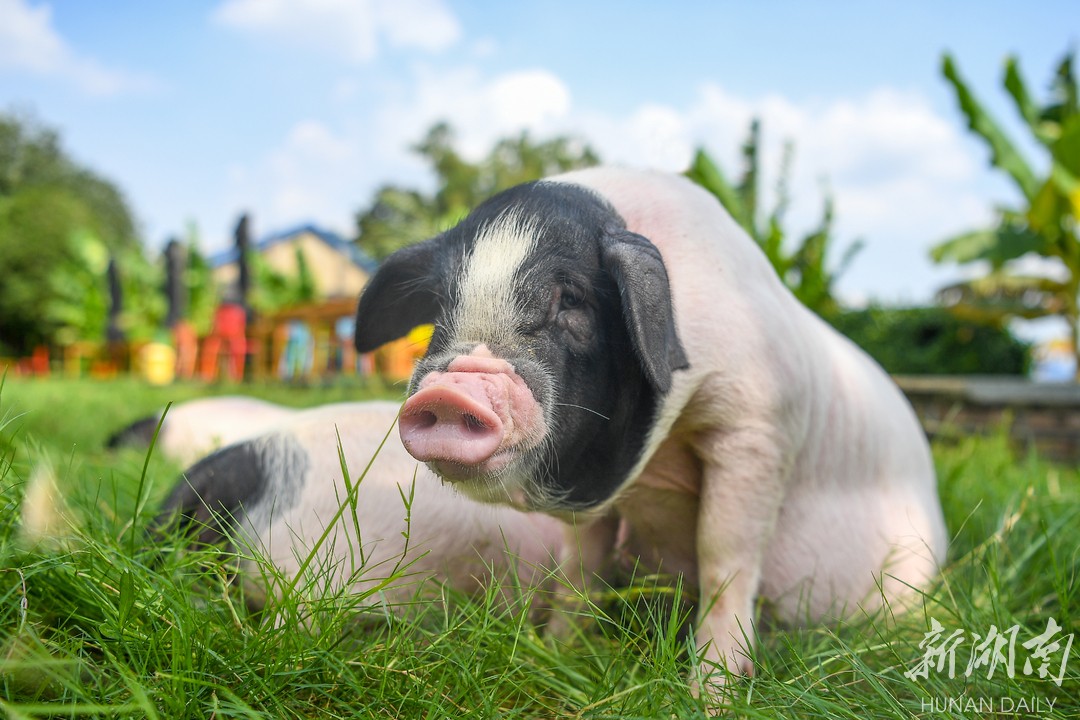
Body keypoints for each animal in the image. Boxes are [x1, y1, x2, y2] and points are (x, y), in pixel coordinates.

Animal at [352, 166, 946, 695]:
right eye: (438, 304)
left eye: (572, 300)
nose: (449, 392)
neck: (653, 463)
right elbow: (580, 565)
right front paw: (555, 651)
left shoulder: (758, 425)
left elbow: (725, 551)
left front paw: (711, 695)